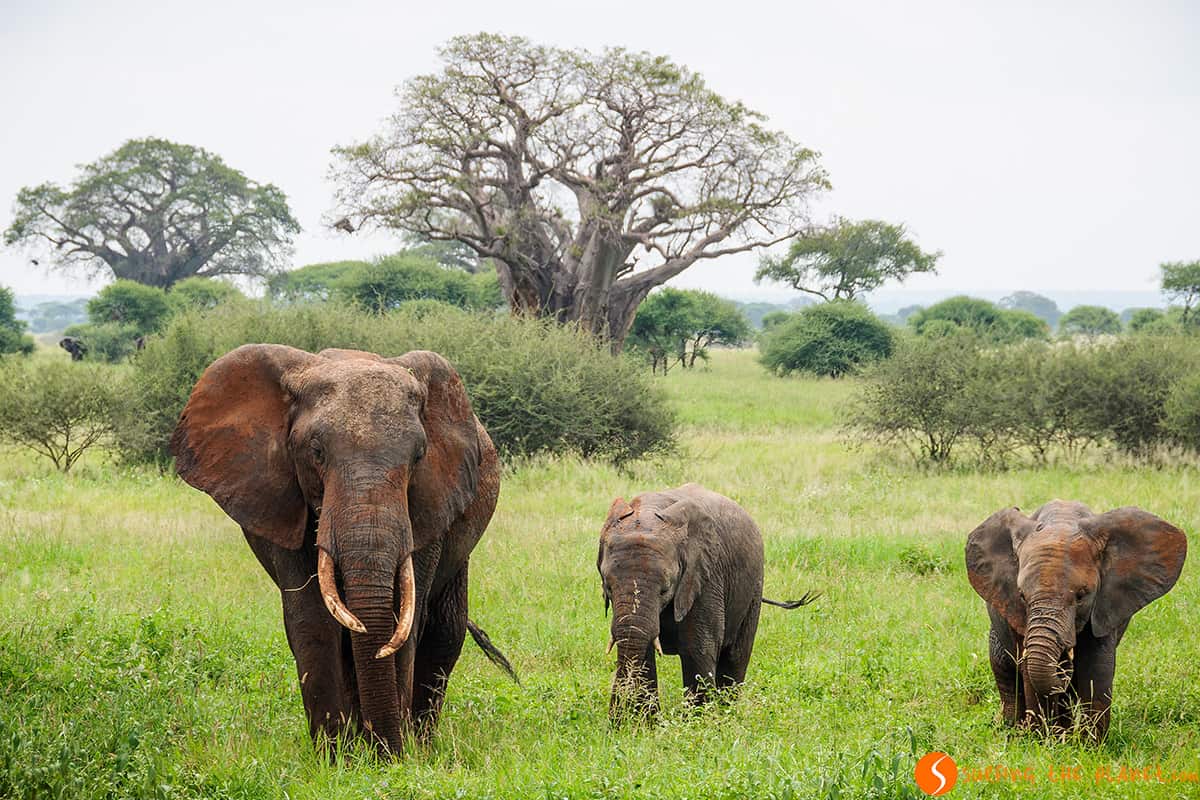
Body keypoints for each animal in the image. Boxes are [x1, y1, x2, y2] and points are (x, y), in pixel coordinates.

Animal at [171, 344, 515, 756]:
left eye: (419, 456)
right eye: (316, 451)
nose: (390, 754)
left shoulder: (430, 503)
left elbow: (405, 617)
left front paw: (391, 757)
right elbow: (312, 621)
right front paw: (336, 759)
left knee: (444, 630)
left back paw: (420, 743)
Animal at [597, 483, 817, 719]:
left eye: (665, 589)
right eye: (608, 587)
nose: (614, 721)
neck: (648, 509)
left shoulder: (705, 577)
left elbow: (697, 650)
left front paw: (696, 725)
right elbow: (643, 647)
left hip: (754, 587)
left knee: (736, 656)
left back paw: (726, 716)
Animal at [966, 500, 1186, 740]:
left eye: (1081, 595)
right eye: (1022, 596)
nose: (1064, 663)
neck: (1062, 519)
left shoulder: (1105, 603)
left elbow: (1096, 667)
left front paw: (1087, 744)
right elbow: (1029, 671)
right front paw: (1041, 740)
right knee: (1004, 669)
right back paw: (1012, 728)